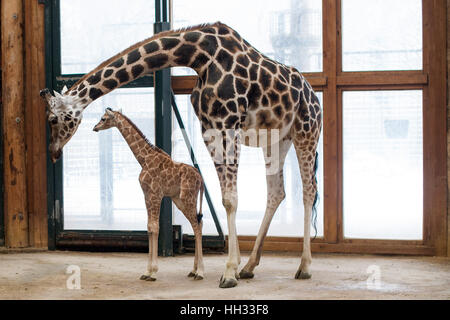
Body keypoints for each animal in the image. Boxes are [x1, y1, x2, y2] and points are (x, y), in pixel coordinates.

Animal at [93, 107, 206, 280]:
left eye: (103, 118)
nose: (95, 127)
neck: (144, 159)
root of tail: (201, 179)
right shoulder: (147, 195)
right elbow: (149, 227)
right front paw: (147, 272)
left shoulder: (155, 194)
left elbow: (155, 227)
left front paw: (152, 271)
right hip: (179, 200)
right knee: (197, 224)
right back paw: (193, 270)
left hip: (188, 199)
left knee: (197, 225)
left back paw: (200, 272)